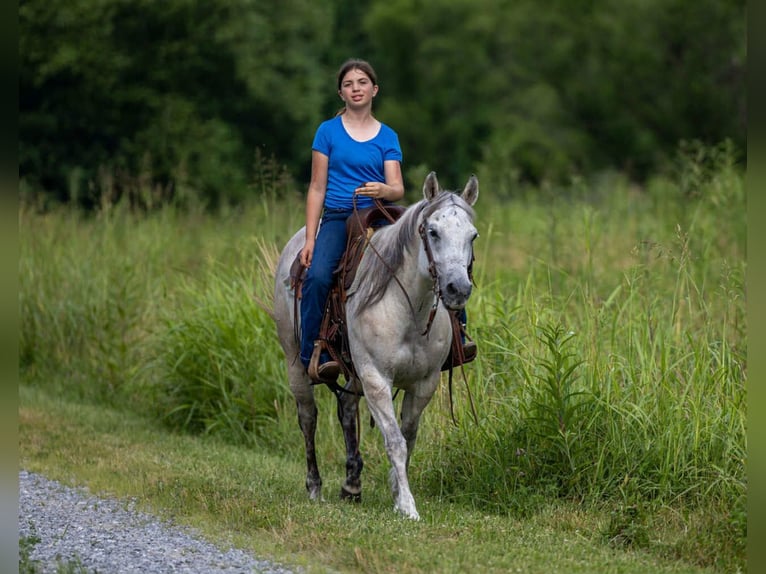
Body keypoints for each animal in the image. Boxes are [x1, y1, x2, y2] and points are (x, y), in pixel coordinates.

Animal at [272, 172, 478, 520]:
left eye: (472, 236)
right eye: (433, 231)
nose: (458, 289)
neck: (409, 308)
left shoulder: (424, 384)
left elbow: (408, 438)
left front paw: (396, 491)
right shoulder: (376, 378)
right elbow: (394, 440)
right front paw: (408, 505)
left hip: (352, 370)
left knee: (346, 410)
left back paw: (352, 485)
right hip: (295, 363)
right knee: (308, 418)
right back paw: (314, 486)